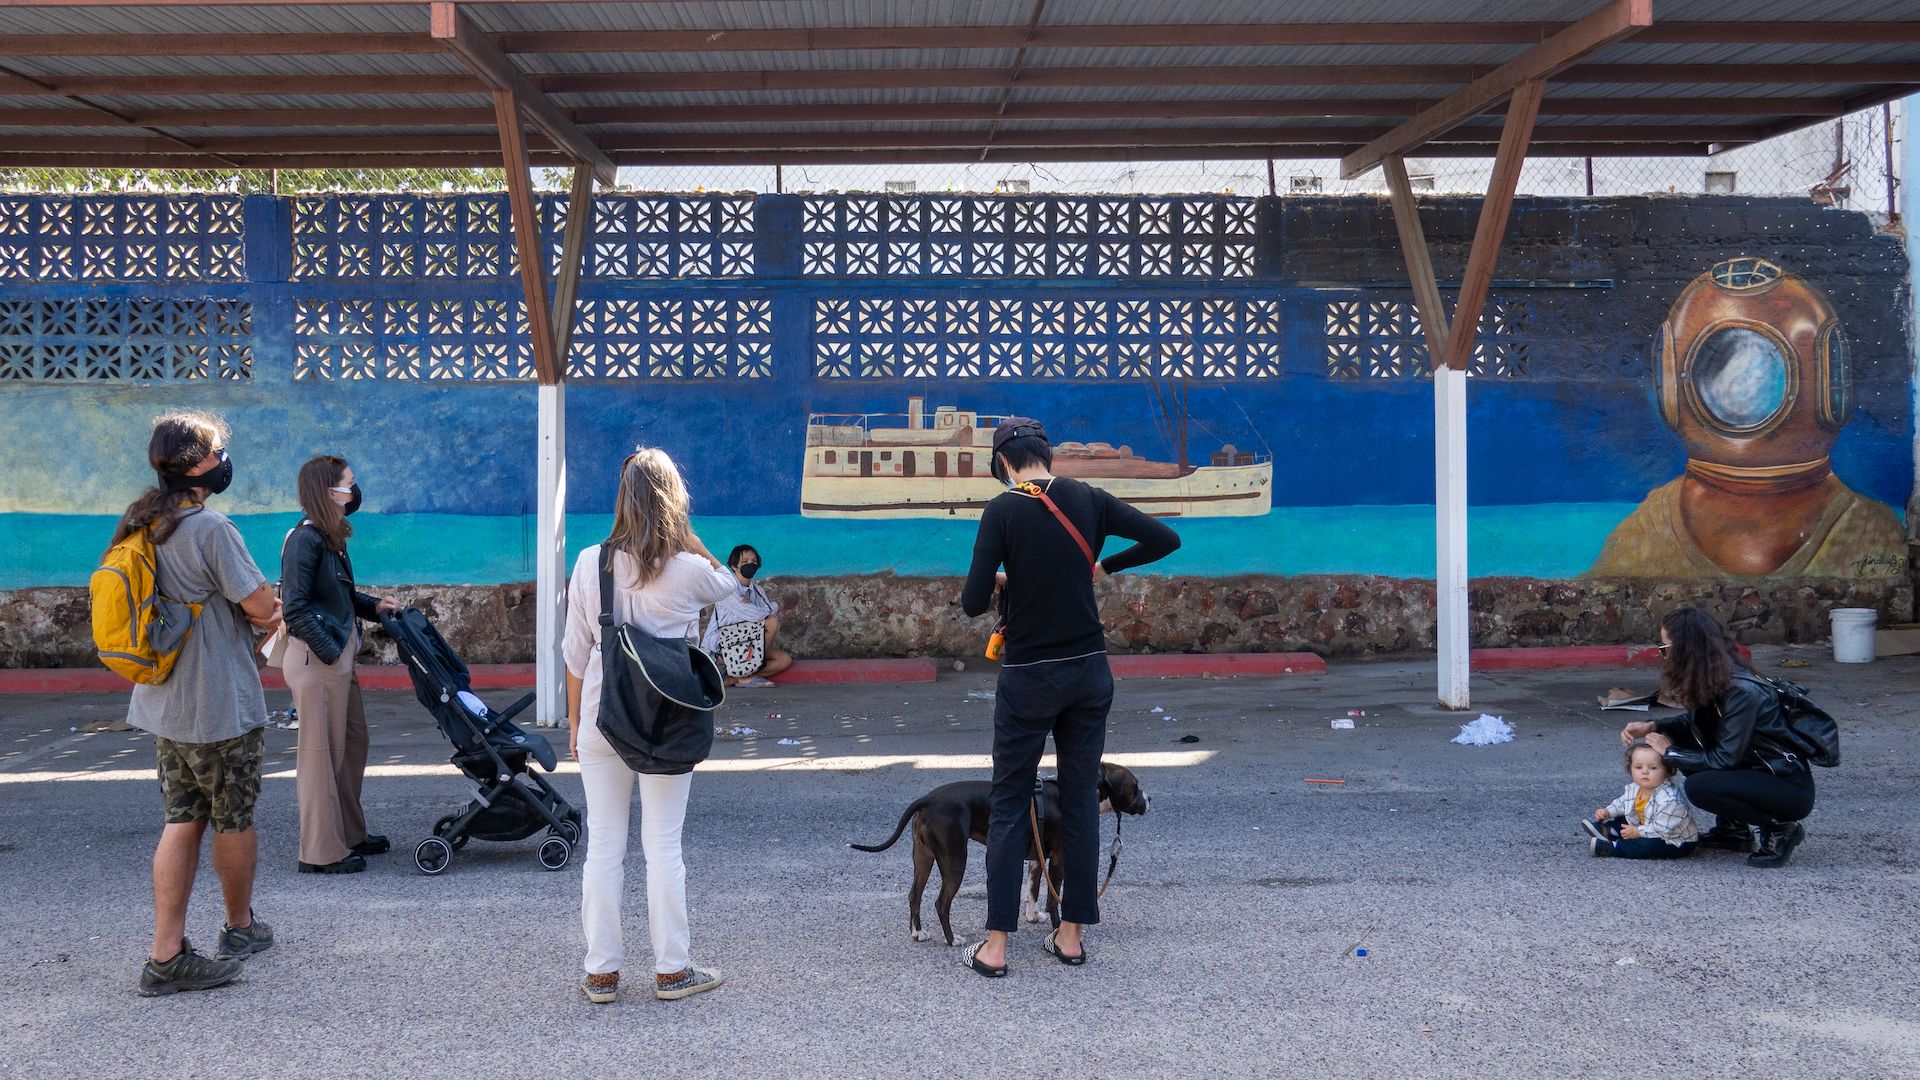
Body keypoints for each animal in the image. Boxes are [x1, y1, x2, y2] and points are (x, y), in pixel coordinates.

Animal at [848, 757, 1144, 941]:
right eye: (1136, 786)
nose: (1149, 798)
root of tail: (927, 799)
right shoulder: (1059, 859)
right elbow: (1053, 898)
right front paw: (1058, 927)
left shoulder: (1036, 858)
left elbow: (1033, 890)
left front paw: (1032, 916)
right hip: (954, 861)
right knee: (941, 903)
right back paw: (952, 939)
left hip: (924, 859)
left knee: (914, 896)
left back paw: (917, 933)